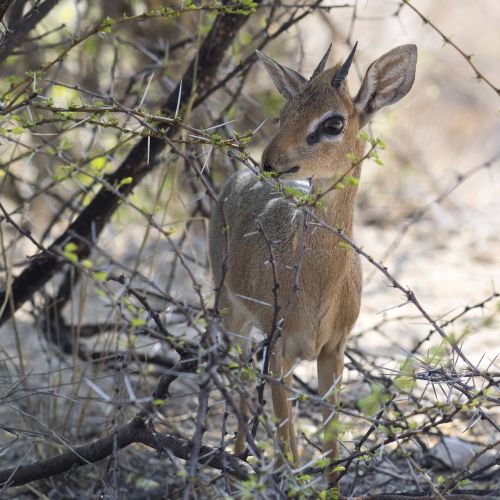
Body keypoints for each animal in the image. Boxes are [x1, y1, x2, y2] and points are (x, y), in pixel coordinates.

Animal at [208, 44, 418, 476]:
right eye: (286, 111)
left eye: (333, 122)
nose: (270, 161)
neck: (320, 284)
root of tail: (234, 179)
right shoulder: (279, 348)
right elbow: (287, 439)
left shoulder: (333, 352)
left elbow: (332, 446)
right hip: (231, 314)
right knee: (240, 381)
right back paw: (235, 455)